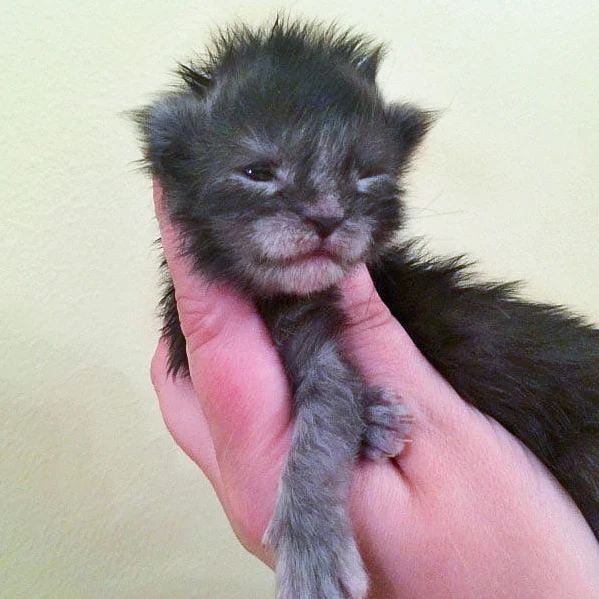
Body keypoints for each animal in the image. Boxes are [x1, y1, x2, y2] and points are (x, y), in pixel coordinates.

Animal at [136, 17, 599, 599]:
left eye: (366, 174)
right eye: (258, 172)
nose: (326, 217)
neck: (276, 297)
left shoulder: (327, 352)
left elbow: (322, 428)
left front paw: (312, 548)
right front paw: (372, 420)